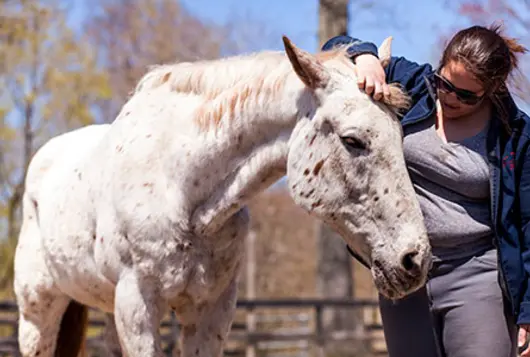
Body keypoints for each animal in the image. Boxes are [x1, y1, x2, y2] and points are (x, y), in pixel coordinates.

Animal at [14, 34, 432, 356]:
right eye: (352, 140)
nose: (415, 259)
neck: (182, 191)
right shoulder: (138, 307)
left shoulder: (212, 309)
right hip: (37, 314)